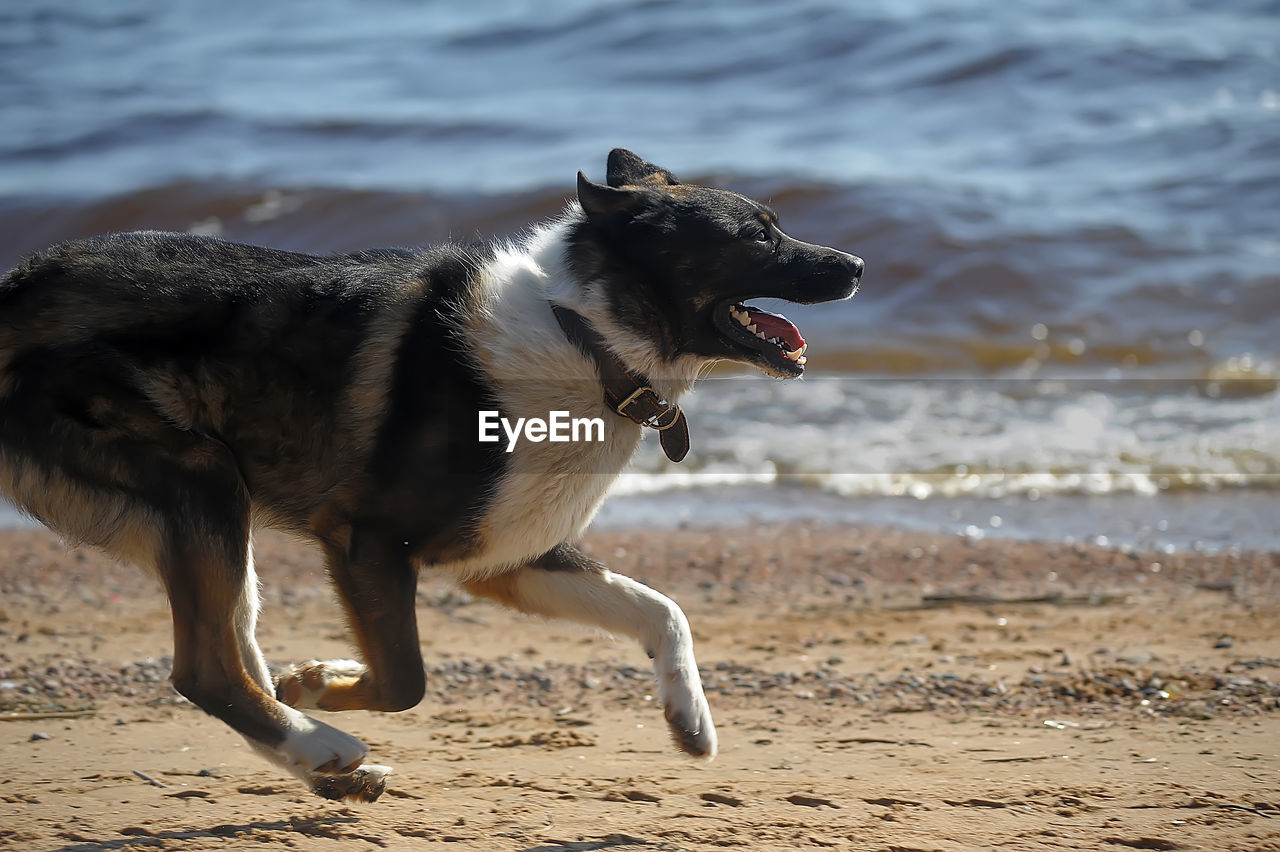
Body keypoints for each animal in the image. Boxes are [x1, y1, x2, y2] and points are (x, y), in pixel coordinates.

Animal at [0, 147, 865, 798]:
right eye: (758, 236)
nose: (857, 264)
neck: (586, 340)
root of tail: (18, 286)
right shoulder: (366, 540)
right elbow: (405, 680)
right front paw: (327, 688)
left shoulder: (507, 556)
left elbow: (661, 611)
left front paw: (689, 717)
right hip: (200, 480)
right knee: (205, 671)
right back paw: (324, 748)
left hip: (217, 516)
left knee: (232, 651)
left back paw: (321, 763)